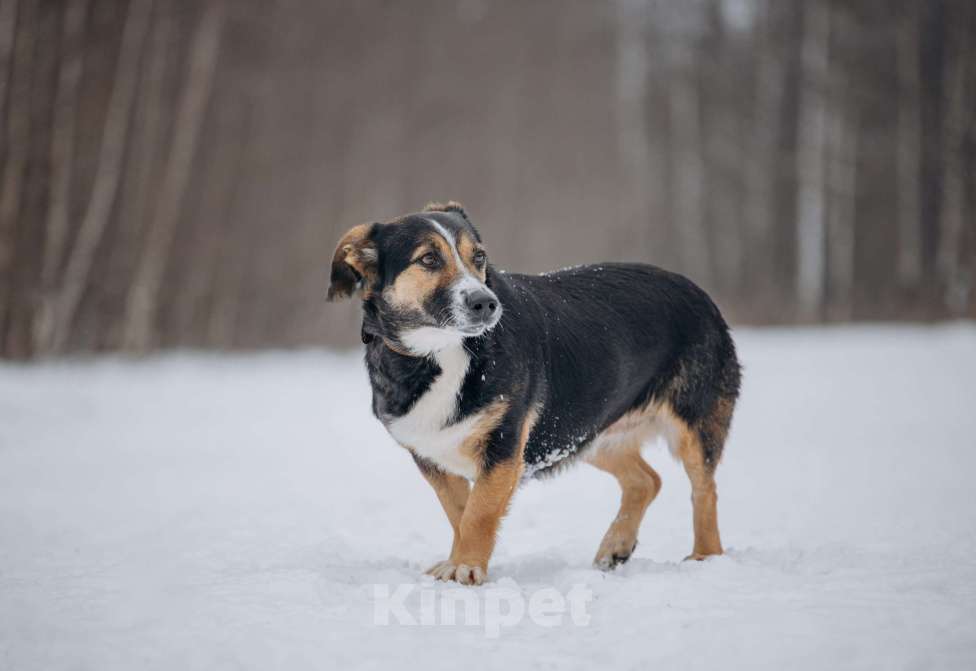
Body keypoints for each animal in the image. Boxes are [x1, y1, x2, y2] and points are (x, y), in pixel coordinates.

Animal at [328, 202, 740, 584]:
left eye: (479, 257)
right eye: (428, 259)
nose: (486, 303)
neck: (441, 355)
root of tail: (697, 290)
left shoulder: (505, 444)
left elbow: (478, 513)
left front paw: (466, 567)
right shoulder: (429, 453)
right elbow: (459, 511)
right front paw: (458, 561)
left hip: (692, 424)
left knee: (705, 489)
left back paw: (705, 557)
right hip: (583, 431)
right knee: (646, 480)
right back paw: (615, 546)